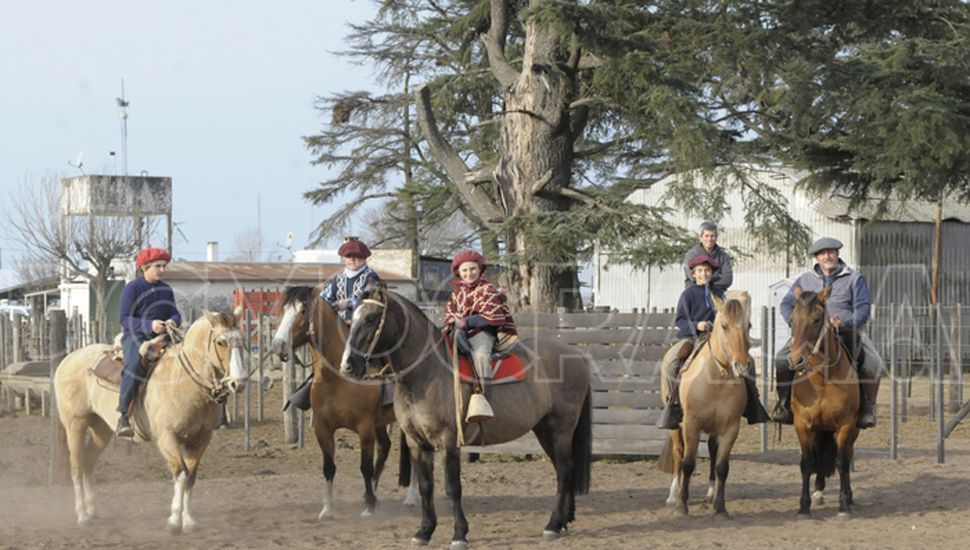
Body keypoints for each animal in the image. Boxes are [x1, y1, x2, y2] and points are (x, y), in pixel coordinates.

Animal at [51, 308, 250, 532]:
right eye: (220, 342)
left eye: (242, 339)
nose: (239, 382)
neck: (183, 381)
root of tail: (68, 359)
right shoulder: (166, 438)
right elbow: (180, 473)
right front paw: (174, 520)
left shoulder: (201, 439)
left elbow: (191, 477)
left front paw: (188, 520)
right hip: (75, 424)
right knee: (76, 465)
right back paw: (82, 515)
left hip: (101, 429)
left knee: (88, 461)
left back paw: (92, 510)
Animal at [268, 284, 416, 520]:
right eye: (284, 310)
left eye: (302, 311)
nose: (278, 345)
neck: (337, 378)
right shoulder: (323, 428)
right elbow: (329, 467)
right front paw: (327, 509)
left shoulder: (365, 428)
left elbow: (365, 467)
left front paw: (368, 508)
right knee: (385, 447)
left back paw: (410, 498)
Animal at [336, 284, 588, 550]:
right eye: (352, 318)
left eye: (371, 318)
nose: (347, 366)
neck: (427, 373)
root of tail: (576, 355)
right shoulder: (417, 443)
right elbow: (425, 486)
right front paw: (424, 531)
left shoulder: (449, 441)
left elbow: (453, 488)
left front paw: (459, 534)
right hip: (545, 430)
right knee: (564, 470)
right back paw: (564, 519)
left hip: (561, 430)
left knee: (564, 469)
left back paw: (553, 524)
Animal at [660, 292, 752, 520]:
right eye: (724, 325)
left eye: (749, 325)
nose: (742, 366)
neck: (717, 377)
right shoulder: (691, 424)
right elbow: (688, 462)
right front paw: (681, 506)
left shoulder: (731, 428)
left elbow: (722, 466)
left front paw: (720, 507)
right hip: (676, 426)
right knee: (678, 453)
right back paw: (673, 494)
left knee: (712, 450)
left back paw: (710, 494)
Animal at [792, 286, 860, 520]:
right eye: (793, 319)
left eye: (816, 319)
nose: (796, 360)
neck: (822, 380)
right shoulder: (802, 425)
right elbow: (806, 464)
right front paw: (803, 507)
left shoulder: (845, 426)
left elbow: (842, 463)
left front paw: (843, 505)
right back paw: (818, 491)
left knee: (847, 457)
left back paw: (849, 498)